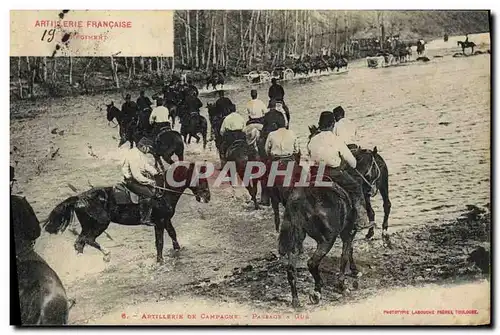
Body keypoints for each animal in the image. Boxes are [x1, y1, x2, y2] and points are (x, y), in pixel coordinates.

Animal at [42, 163, 211, 266]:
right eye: (201, 179)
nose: (207, 197)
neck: (163, 191)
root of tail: (78, 198)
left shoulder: (166, 220)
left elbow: (173, 234)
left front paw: (178, 250)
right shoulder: (159, 222)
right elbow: (160, 242)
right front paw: (160, 260)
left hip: (89, 226)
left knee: (80, 243)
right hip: (100, 224)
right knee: (87, 240)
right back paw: (106, 254)